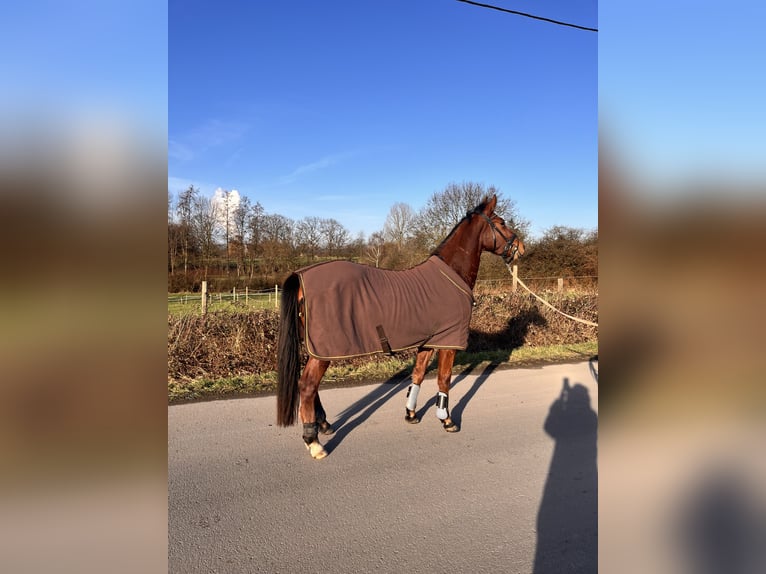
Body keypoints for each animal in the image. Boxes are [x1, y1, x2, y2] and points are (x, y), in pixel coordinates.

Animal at [276, 195, 525, 459]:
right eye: (502, 222)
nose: (521, 247)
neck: (451, 275)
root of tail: (301, 274)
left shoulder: (429, 341)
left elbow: (418, 375)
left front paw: (411, 414)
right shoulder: (448, 342)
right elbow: (444, 379)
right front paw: (446, 420)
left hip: (317, 348)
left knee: (311, 387)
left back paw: (323, 425)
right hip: (323, 349)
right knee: (307, 386)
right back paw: (313, 442)